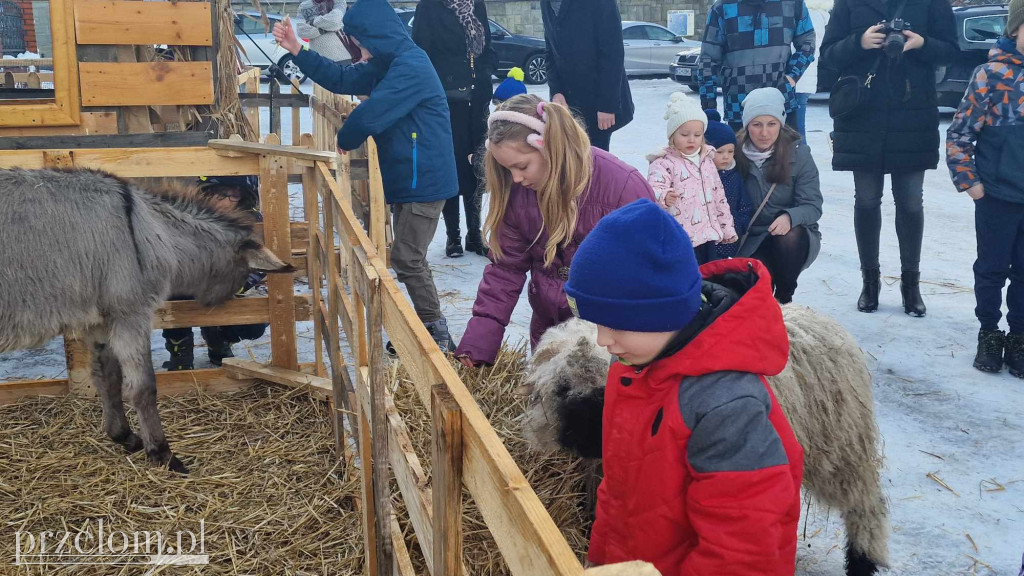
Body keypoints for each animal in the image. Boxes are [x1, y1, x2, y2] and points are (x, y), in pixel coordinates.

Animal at [0, 168, 294, 473]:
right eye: (244, 272)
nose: (231, 318)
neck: (150, 230)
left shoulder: (102, 321)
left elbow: (108, 378)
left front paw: (124, 436)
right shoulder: (132, 315)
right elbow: (144, 387)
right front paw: (163, 453)